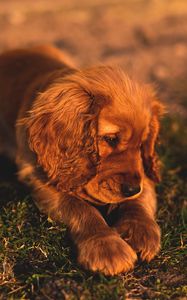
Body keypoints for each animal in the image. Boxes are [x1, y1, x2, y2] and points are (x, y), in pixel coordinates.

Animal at [0, 44, 164, 274]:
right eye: (110, 139)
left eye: (142, 144)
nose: (132, 188)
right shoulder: (41, 177)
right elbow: (80, 207)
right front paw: (106, 246)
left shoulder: (143, 172)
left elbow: (140, 197)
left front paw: (140, 231)